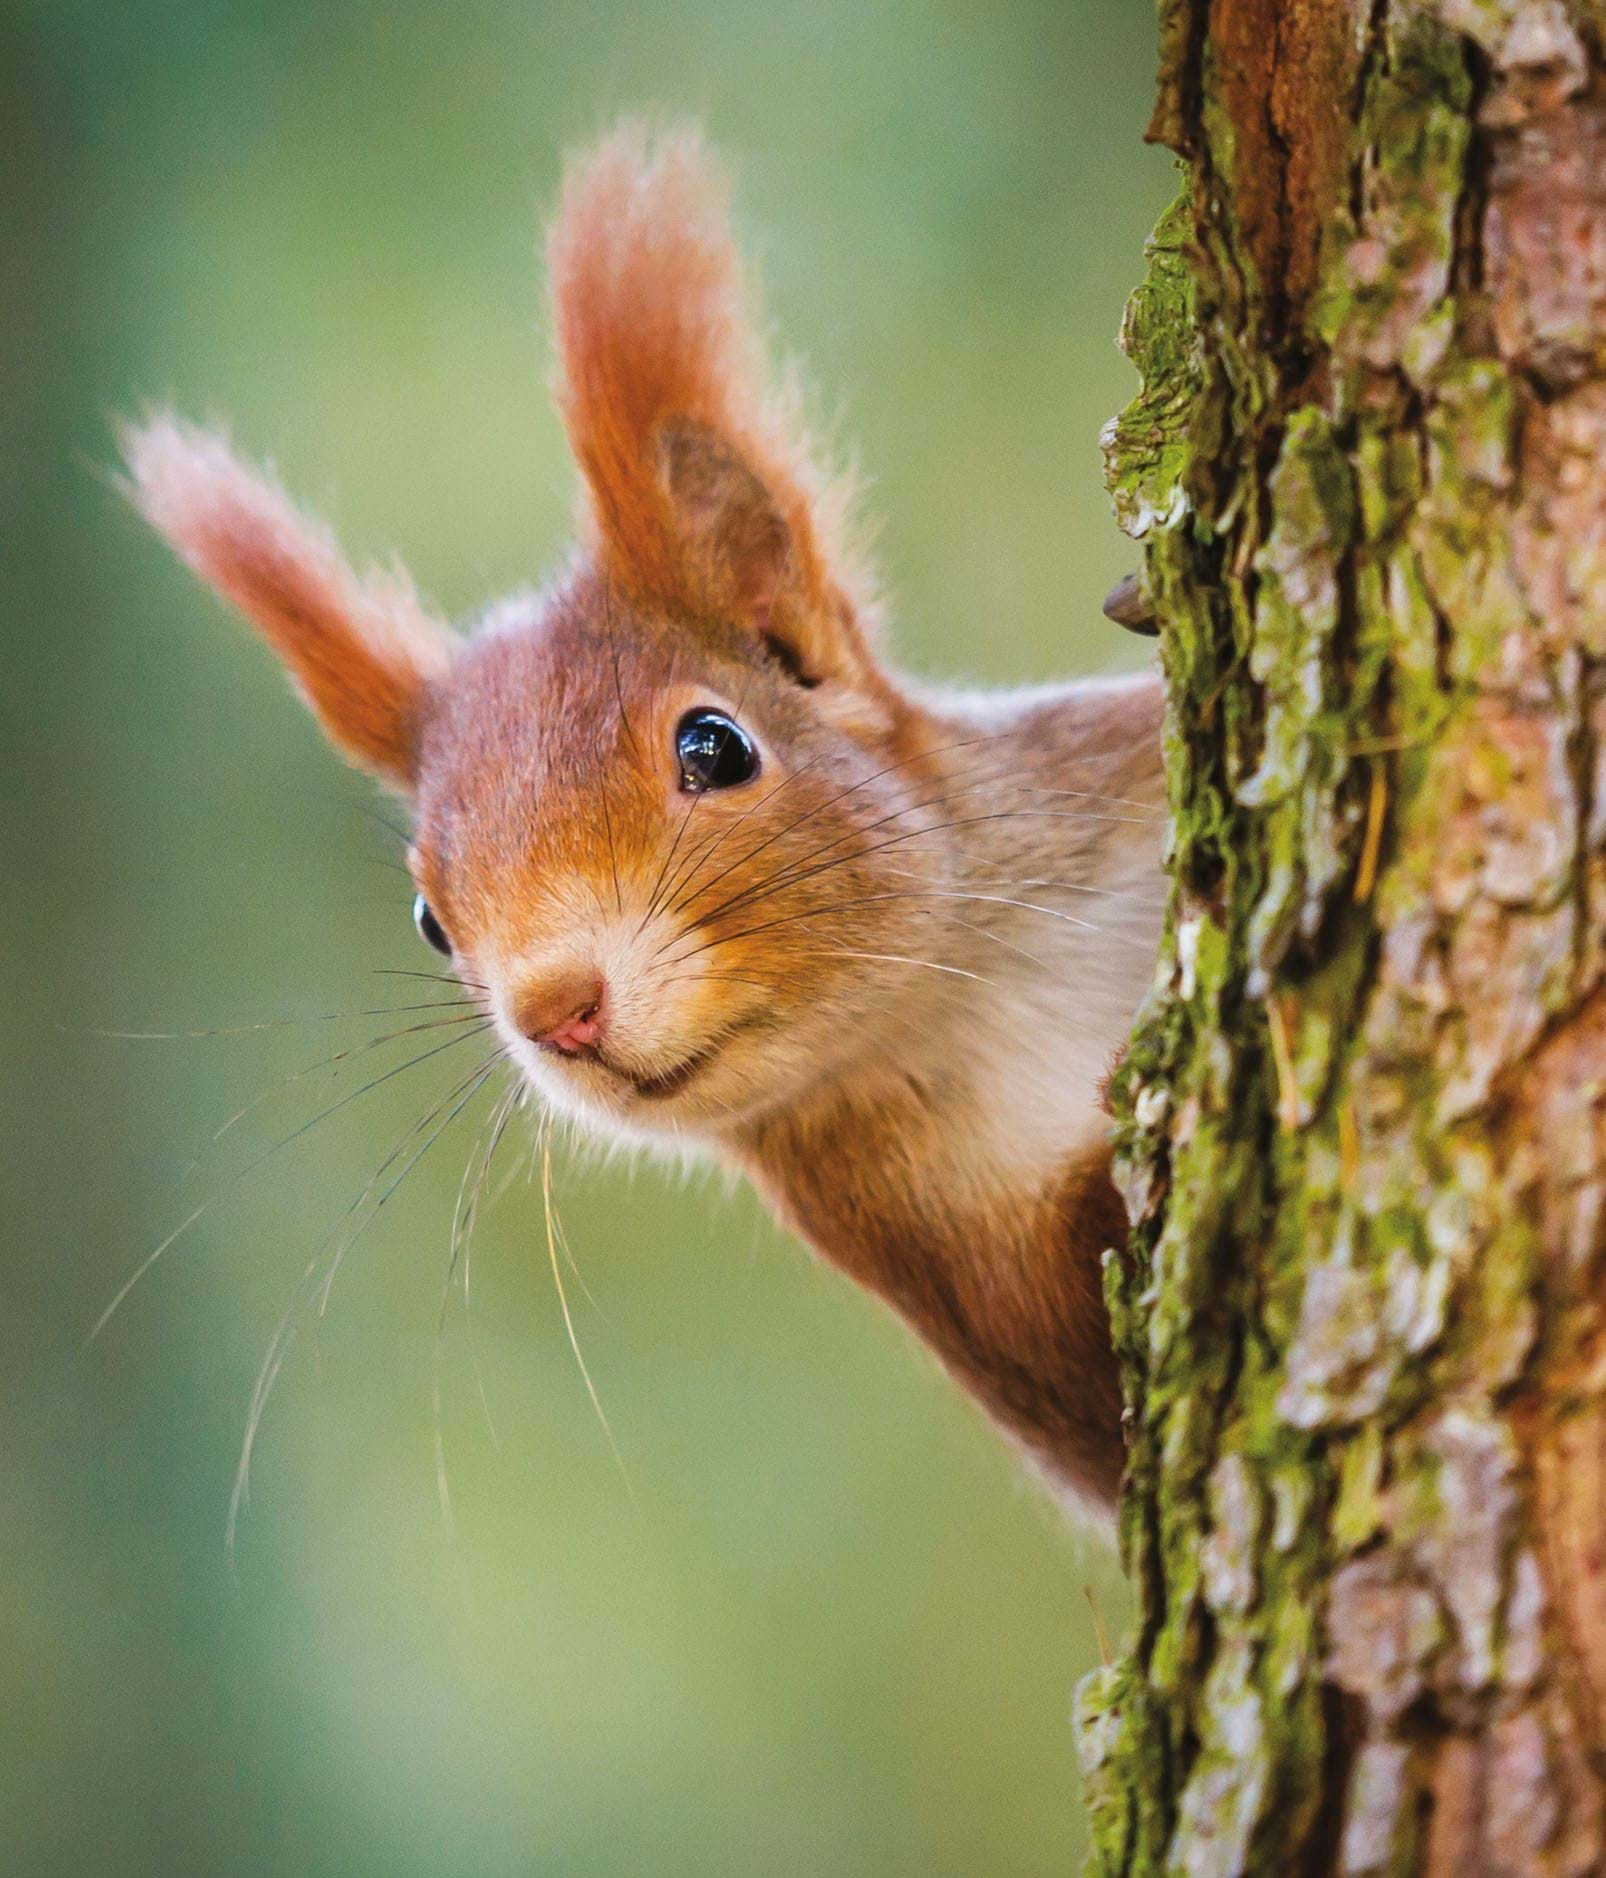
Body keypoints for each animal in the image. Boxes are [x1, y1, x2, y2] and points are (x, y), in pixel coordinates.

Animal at [122, 128, 1157, 1509]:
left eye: (714, 747)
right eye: (429, 920)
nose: (557, 1008)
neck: (978, 992)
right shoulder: (969, 1281)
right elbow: (1099, 1382)